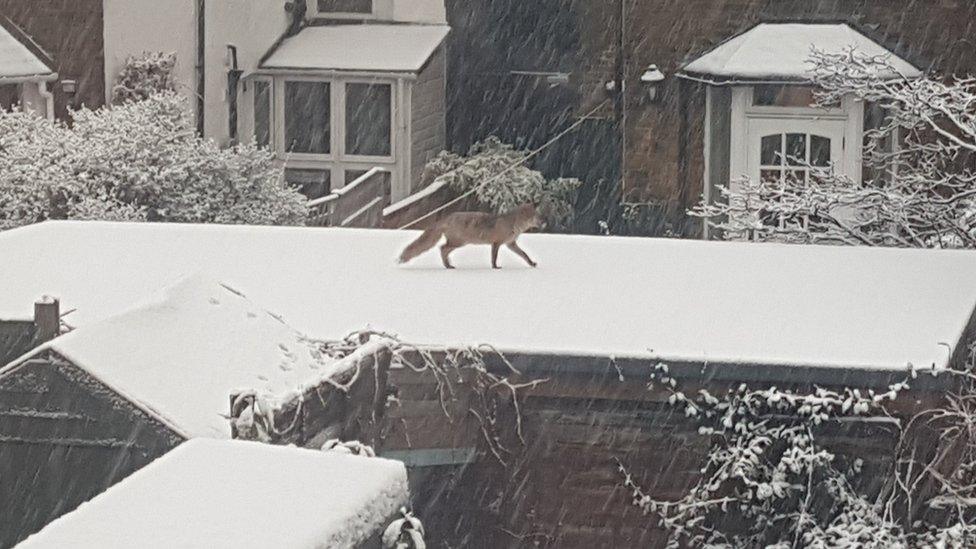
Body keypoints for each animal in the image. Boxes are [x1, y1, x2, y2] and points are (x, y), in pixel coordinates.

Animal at [400, 202, 544, 268]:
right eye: (537, 217)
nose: (545, 223)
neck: (513, 224)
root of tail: (447, 218)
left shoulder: (511, 244)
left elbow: (524, 255)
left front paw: (531, 263)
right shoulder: (496, 243)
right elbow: (494, 258)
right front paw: (495, 267)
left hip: (458, 243)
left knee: (443, 249)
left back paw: (448, 265)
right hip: (458, 242)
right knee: (442, 248)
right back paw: (447, 265)